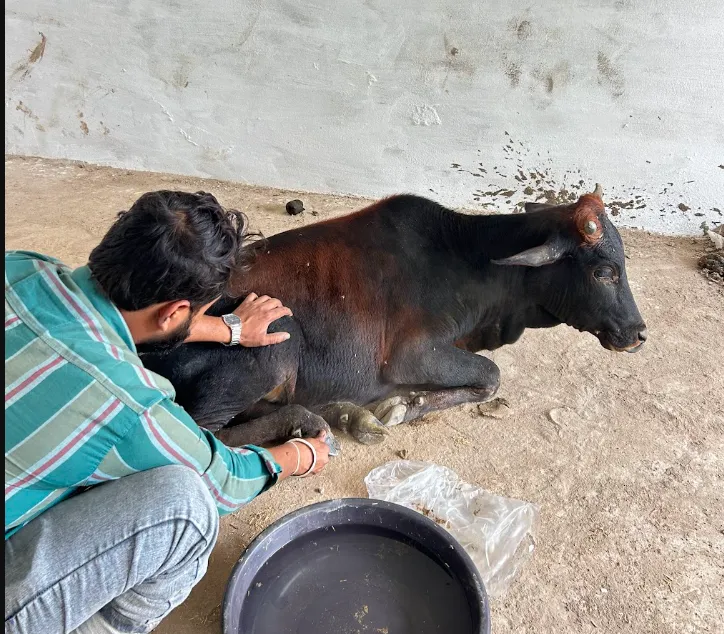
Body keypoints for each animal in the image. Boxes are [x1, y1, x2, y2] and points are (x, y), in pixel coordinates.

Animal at [140, 185, 647, 448]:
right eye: (604, 271)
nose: (638, 333)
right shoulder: (410, 355)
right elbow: (491, 374)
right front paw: (405, 405)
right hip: (274, 333)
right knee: (207, 435)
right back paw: (319, 420)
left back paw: (346, 414)